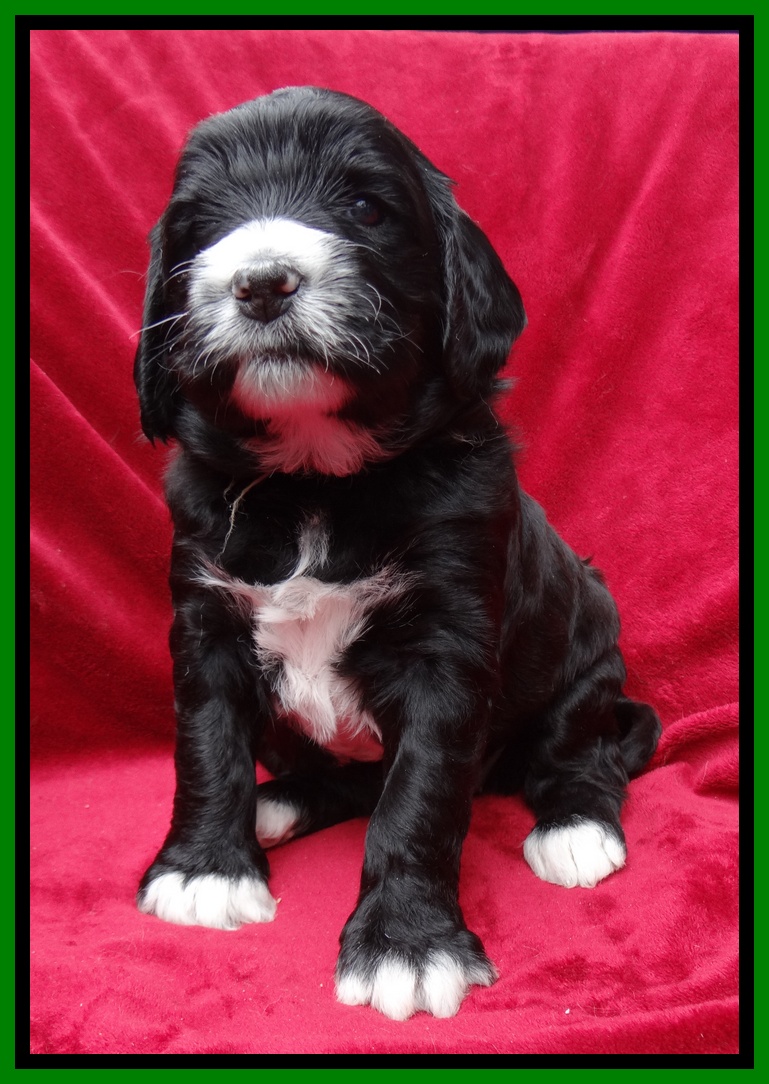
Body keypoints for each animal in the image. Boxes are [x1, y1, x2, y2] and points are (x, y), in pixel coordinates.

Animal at [134, 86, 661, 1021]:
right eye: (200, 229)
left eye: (363, 208)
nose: (260, 282)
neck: (316, 483)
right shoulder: (206, 619)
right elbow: (205, 744)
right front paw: (204, 871)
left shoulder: (447, 648)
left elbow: (417, 798)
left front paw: (405, 946)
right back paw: (276, 803)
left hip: (586, 649)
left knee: (582, 751)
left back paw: (575, 826)